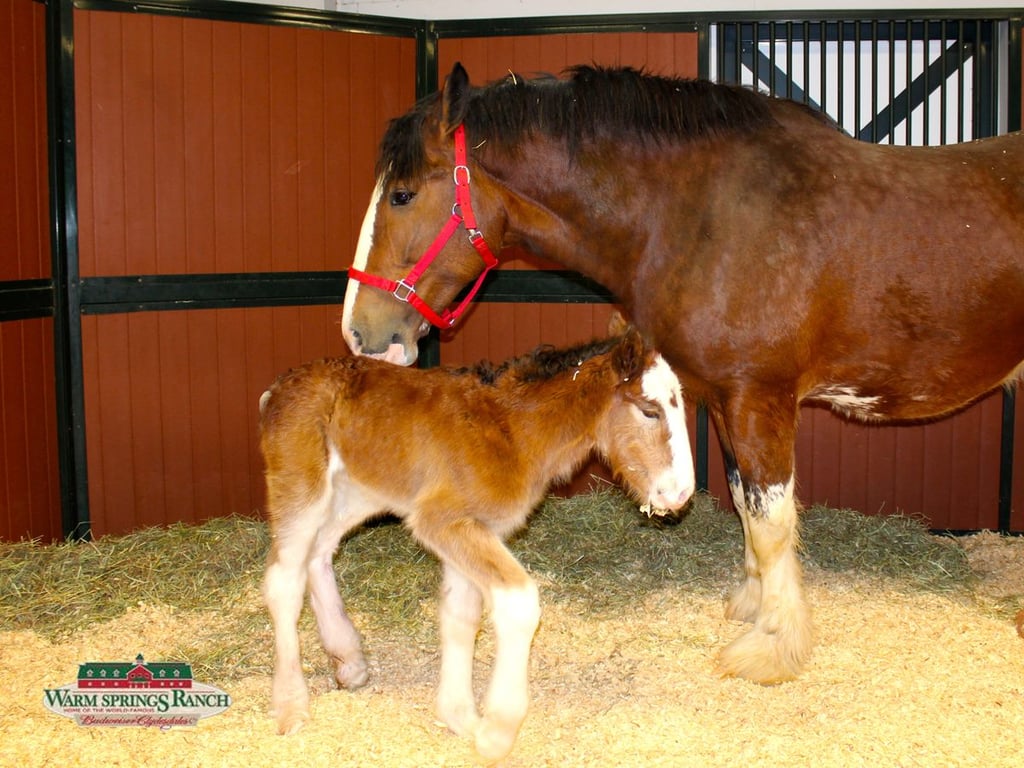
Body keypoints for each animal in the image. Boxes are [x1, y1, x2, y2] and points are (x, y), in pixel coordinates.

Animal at [259, 322, 694, 763]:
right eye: (650, 410)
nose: (680, 494)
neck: (510, 430)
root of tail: (279, 386)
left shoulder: (473, 531)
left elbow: (461, 617)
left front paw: (460, 718)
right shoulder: (443, 523)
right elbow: (518, 604)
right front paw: (496, 732)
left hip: (355, 495)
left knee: (319, 554)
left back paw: (348, 661)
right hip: (302, 490)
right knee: (284, 581)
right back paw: (291, 705)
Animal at [340, 63, 1024, 686]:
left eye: (402, 195)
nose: (359, 333)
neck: (700, 215)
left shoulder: (758, 397)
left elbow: (772, 520)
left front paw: (773, 648)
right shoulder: (724, 399)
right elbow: (746, 505)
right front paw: (752, 606)